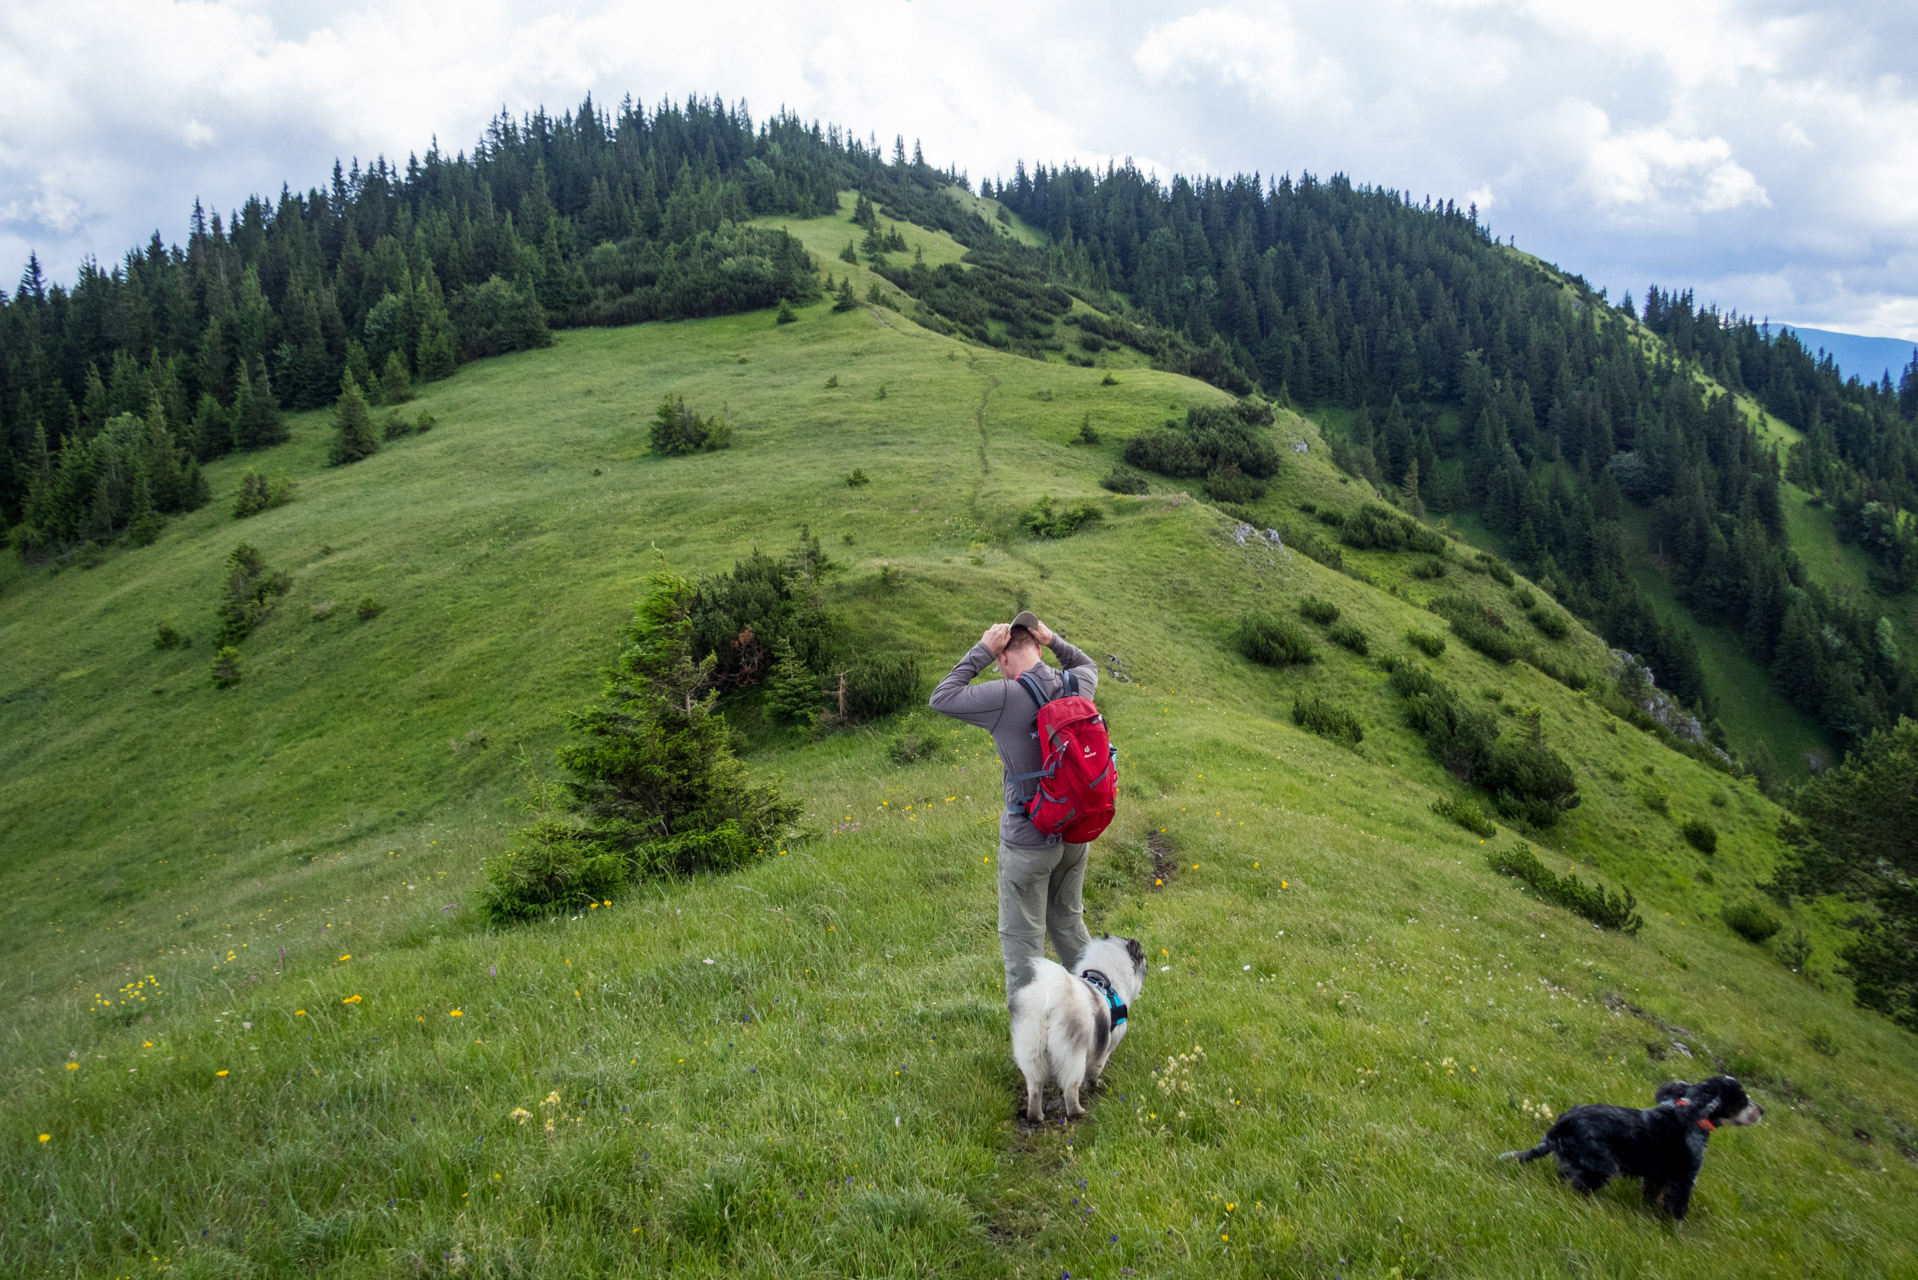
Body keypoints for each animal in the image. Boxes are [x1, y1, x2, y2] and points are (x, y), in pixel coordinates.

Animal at [1012, 932, 1143, 1120]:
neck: (1105, 979)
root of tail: (1050, 1004)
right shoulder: (1104, 1048)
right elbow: (1095, 1070)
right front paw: (1096, 1084)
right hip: (1073, 1057)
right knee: (1070, 1090)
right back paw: (1078, 1112)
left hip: (1032, 1053)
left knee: (1035, 1089)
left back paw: (1036, 1116)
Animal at [1503, 1074, 1756, 1220]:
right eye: (1742, 1099)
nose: (1761, 1110)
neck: (1690, 1112)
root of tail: (1559, 1127)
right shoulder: (1684, 1178)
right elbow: (1677, 1211)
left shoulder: (1657, 1176)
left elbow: (1653, 1194)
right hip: (1601, 1166)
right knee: (1579, 1187)